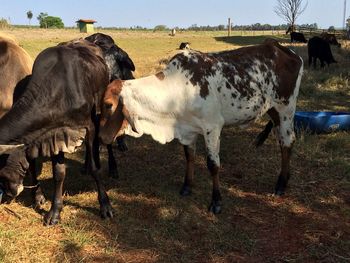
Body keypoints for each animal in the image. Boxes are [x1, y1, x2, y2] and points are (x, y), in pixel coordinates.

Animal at [0, 39, 113, 227]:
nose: (8, 193)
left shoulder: (88, 126)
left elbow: (96, 168)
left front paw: (105, 205)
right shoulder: (55, 135)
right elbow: (58, 173)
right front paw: (54, 211)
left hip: (99, 110)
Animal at [99, 39, 304, 217]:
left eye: (108, 105)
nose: (100, 137)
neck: (177, 88)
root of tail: (282, 49)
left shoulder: (212, 127)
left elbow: (213, 165)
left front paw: (216, 202)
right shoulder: (187, 130)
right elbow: (189, 157)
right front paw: (187, 186)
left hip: (285, 109)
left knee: (287, 142)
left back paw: (281, 184)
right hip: (274, 112)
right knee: (282, 142)